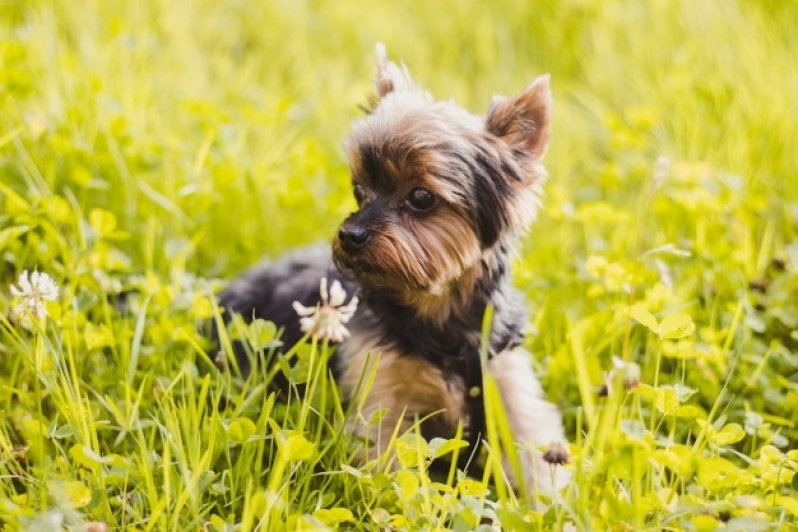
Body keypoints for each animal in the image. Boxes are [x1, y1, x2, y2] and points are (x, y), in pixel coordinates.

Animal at [216, 43, 572, 496]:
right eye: (358, 190)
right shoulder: (380, 391)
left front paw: (549, 501)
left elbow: (532, 447)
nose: (350, 234)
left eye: (421, 197)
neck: (437, 313)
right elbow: (392, 465)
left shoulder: (504, 378)